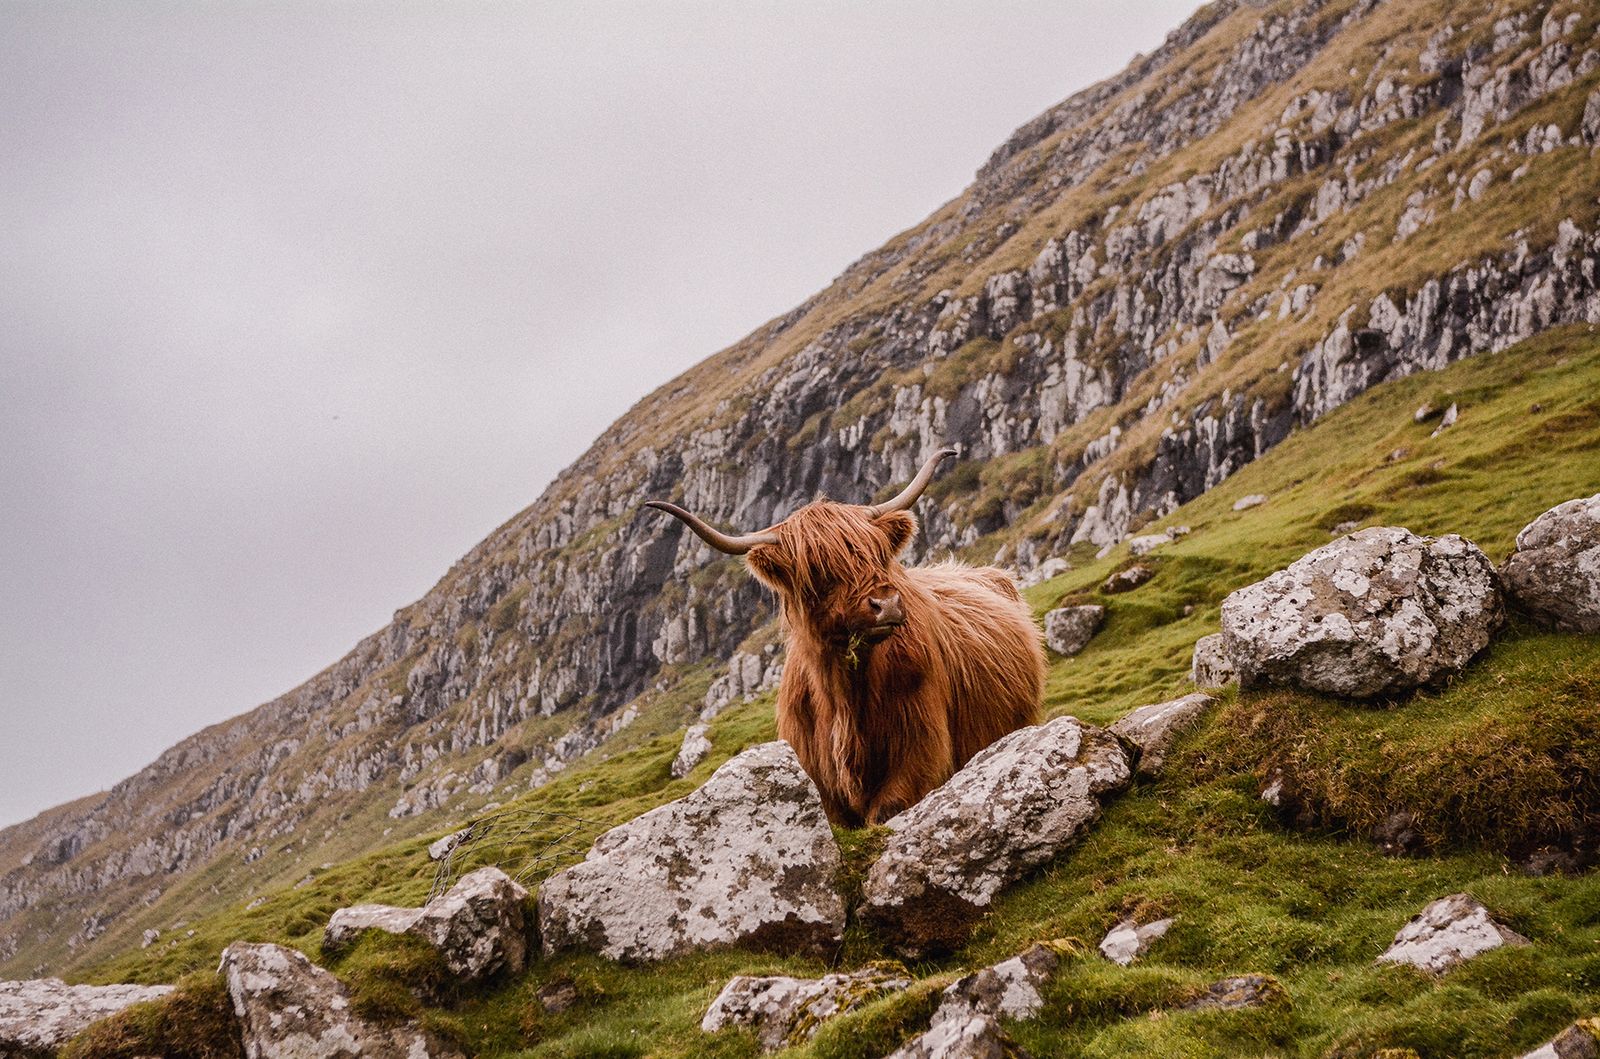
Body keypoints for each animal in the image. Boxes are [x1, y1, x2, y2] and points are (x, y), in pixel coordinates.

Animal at [645, 448, 1045, 827]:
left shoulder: (919, 753)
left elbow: (886, 810)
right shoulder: (820, 781)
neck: (844, 698)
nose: (887, 605)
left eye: (879, 554)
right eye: (818, 570)